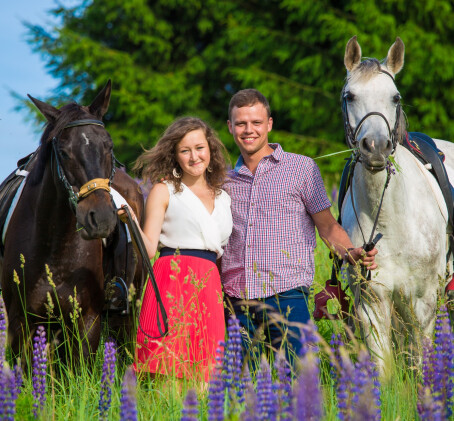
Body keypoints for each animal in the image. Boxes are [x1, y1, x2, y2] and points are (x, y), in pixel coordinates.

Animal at [340, 37, 450, 370]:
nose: (375, 147)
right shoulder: (372, 301)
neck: (390, 220)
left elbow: (420, 362)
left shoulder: (424, 302)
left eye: (395, 97)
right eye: (350, 96)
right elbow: (384, 366)